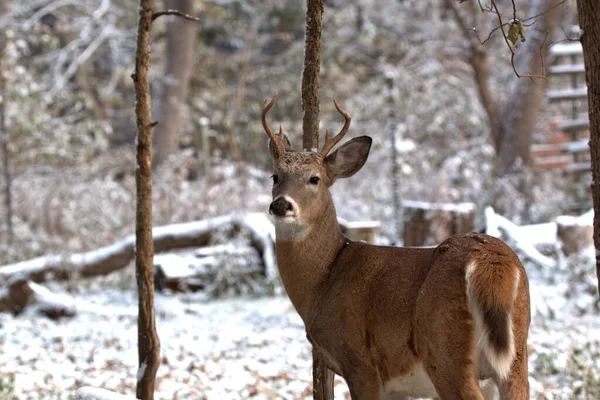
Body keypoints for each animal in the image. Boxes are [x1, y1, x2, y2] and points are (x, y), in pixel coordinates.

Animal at [262, 94, 528, 400]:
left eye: (314, 178)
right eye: (275, 176)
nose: (281, 205)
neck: (323, 280)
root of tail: (491, 262)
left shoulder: (359, 360)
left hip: (444, 348)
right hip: (516, 354)